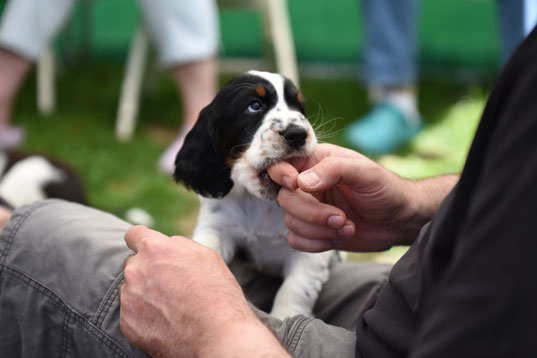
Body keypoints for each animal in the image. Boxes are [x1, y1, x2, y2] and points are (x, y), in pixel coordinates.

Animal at [174, 70, 338, 318]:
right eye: (255, 105)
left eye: (299, 108)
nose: (298, 134)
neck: (258, 203)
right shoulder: (217, 226)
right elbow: (207, 246)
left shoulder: (311, 249)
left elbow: (295, 289)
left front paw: (283, 316)